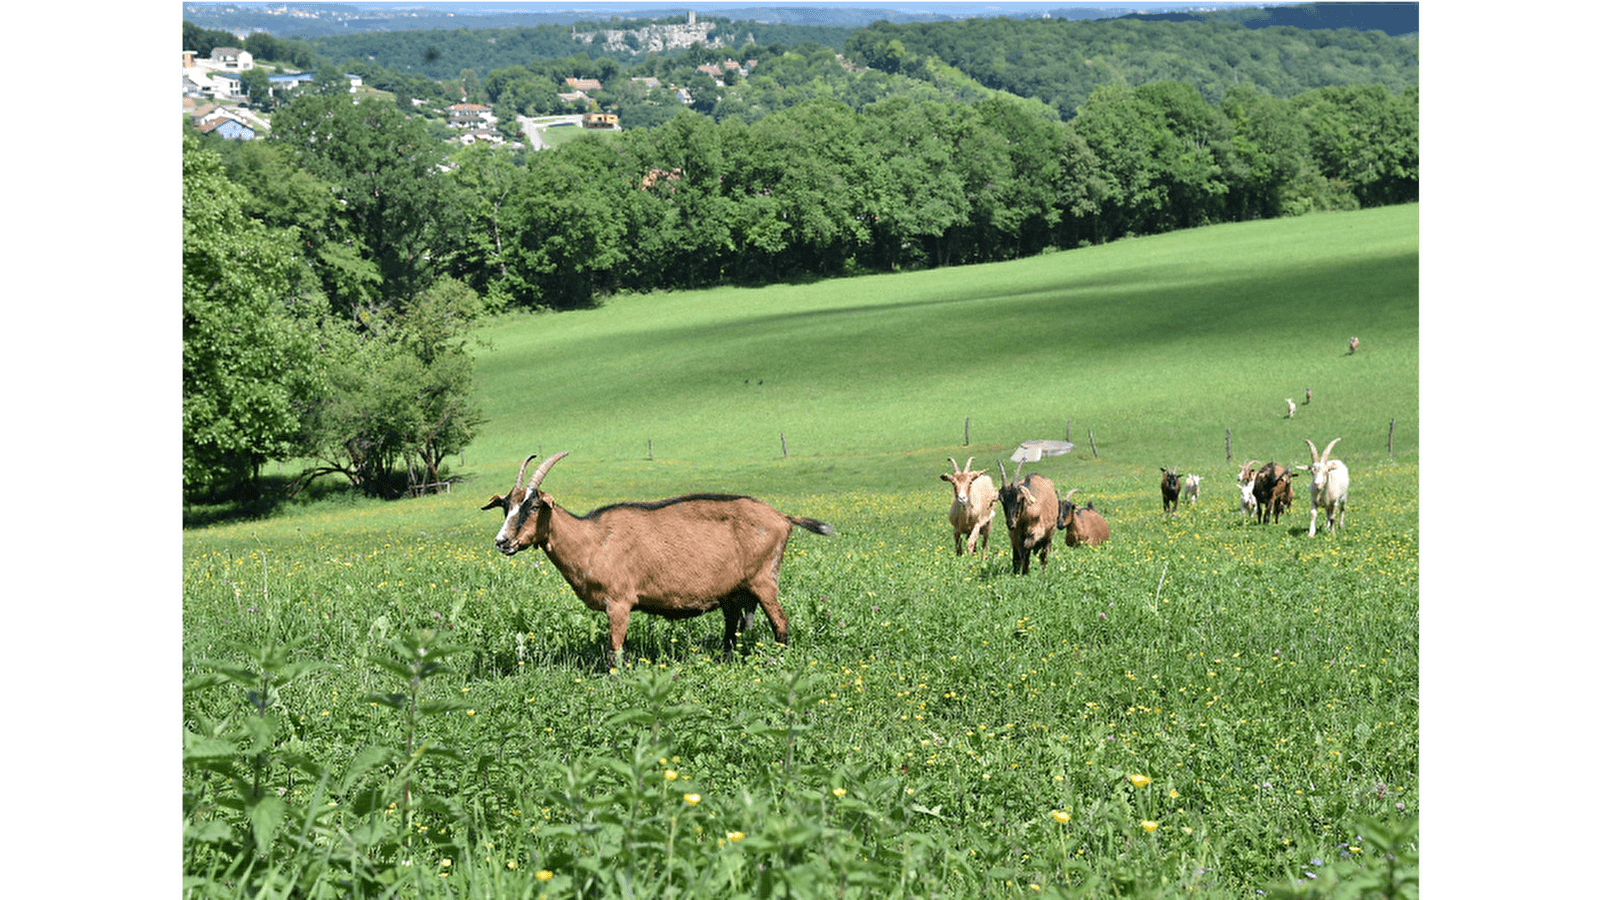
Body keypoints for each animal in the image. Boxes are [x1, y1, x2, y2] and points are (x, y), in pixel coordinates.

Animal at [476, 448, 832, 666]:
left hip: (764, 579)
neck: (593, 540)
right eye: (506, 506)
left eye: (535, 505)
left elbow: (614, 652)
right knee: (734, 629)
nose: (503, 542)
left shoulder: (619, 602)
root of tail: (782, 517)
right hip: (735, 589)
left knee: (781, 624)